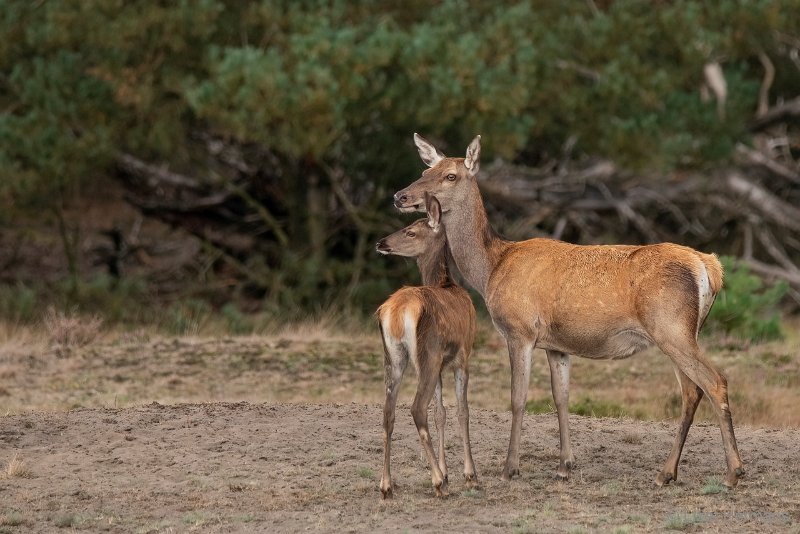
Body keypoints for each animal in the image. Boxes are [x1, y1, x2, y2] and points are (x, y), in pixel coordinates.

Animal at [374, 196, 478, 502]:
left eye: (410, 231)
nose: (381, 242)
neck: (446, 283)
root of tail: (396, 312)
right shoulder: (462, 355)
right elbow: (462, 411)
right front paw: (468, 476)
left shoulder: (443, 363)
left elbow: (440, 412)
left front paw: (449, 471)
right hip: (427, 352)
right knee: (416, 407)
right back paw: (437, 483)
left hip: (394, 357)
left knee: (388, 412)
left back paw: (386, 485)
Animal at [390, 133, 748, 490]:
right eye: (426, 170)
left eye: (450, 176)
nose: (400, 195)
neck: (492, 267)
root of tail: (709, 266)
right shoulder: (557, 345)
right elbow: (561, 398)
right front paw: (565, 466)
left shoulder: (520, 330)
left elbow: (518, 398)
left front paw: (510, 468)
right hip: (681, 331)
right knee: (691, 391)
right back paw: (667, 472)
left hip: (671, 326)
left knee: (714, 381)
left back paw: (732, 472)